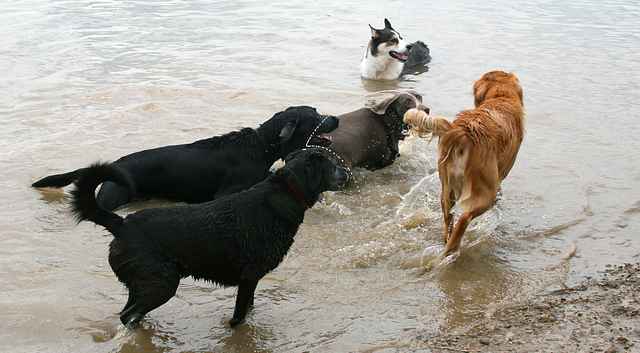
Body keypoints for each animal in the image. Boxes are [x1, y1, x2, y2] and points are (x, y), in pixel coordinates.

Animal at [33, 104, 340, 209]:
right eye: (315, 116)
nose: (335, 118)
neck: (262, 146)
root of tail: (115, 165)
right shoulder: (225, 193)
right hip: (114, 197)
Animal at [70, 148, 350, 328]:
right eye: (332, 165)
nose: (347, 173)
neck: (287, 192)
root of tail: (122, 224)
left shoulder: (251, 281)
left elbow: (248, 307)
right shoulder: (249, 277)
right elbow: (238, 318)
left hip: (143, 282)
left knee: (127, 312)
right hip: (162, 283)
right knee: (128, 316)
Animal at [404, 70, 524, 254]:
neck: (501, 97)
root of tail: (462, 131)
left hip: (446, 188)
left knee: (448, 217)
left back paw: (447, 241)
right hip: (485, 191)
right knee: (464, 218)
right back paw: (452, 249)